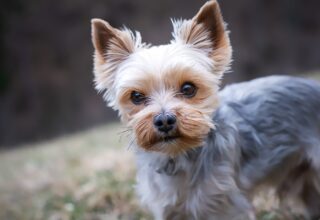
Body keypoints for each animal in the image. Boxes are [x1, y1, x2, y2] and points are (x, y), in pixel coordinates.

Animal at [90, 0, 320, 219]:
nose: (164, 120)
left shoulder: (225, 206)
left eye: (188, 88)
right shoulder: (167, 208)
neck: (177, 156)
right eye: (136, 96)